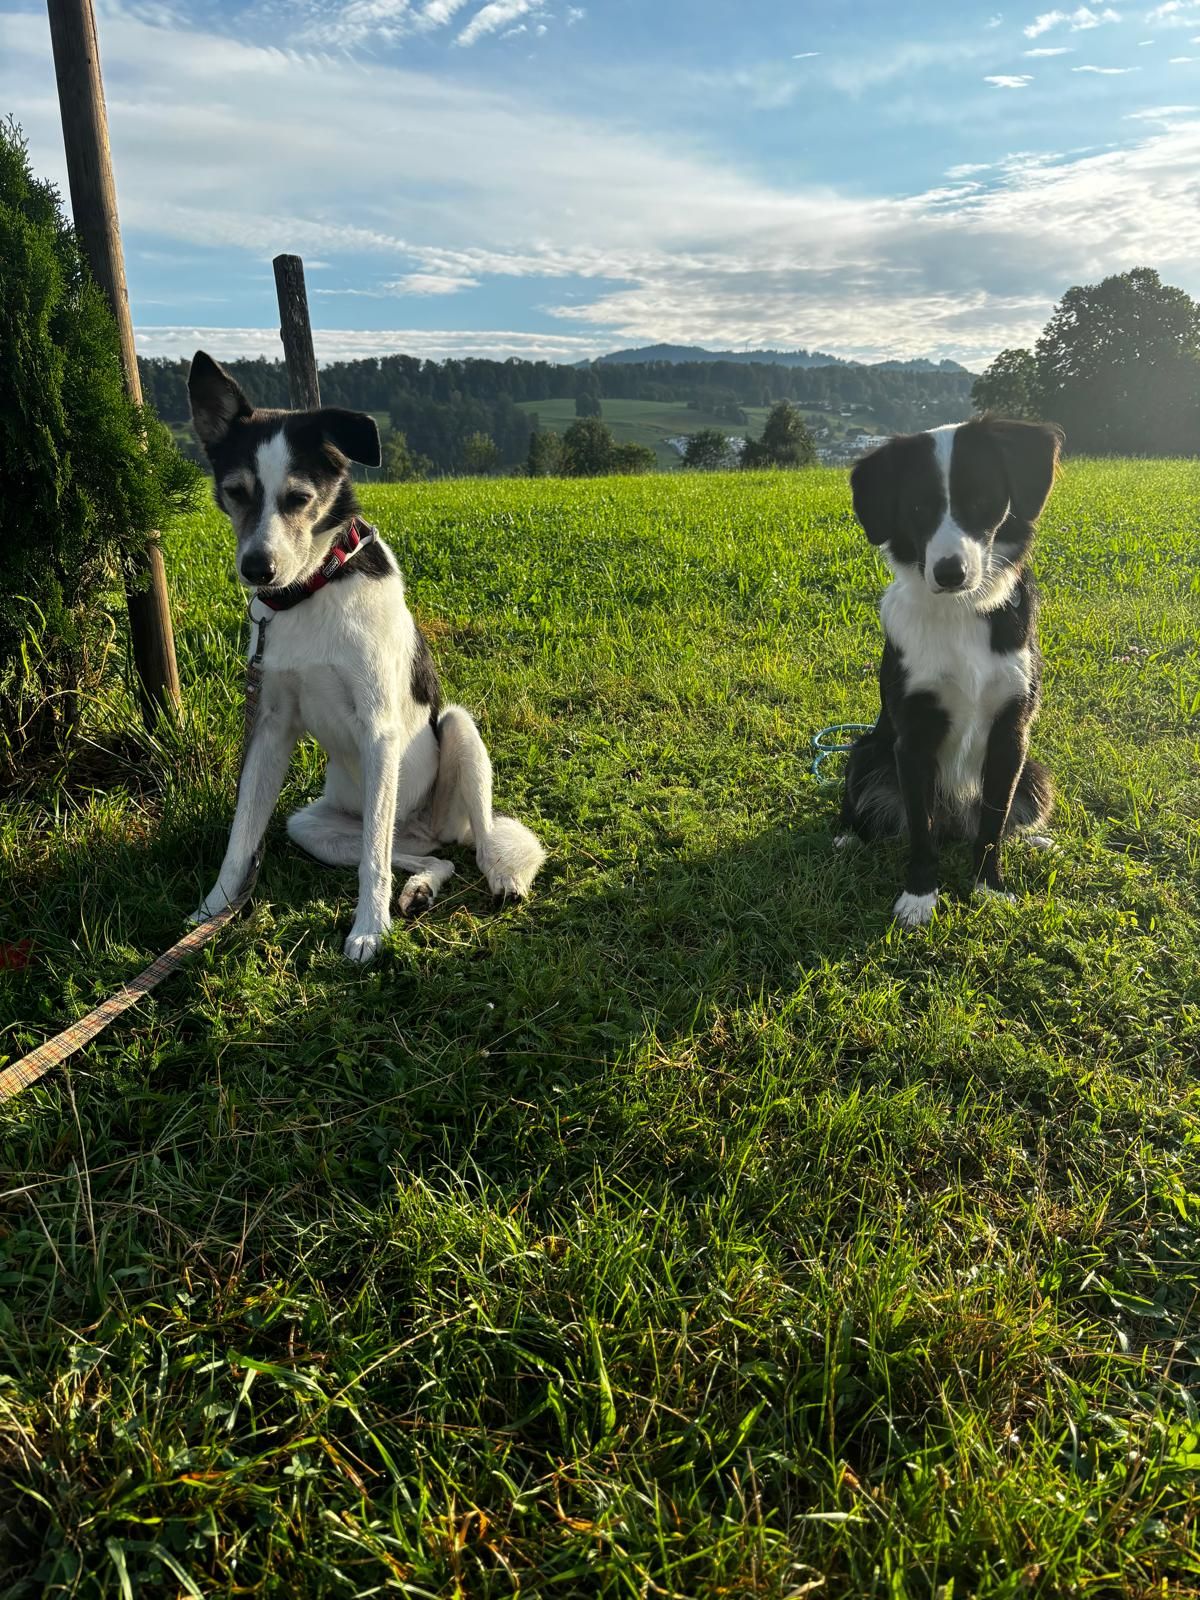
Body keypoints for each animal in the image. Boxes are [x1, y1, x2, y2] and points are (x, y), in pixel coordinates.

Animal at [838, 419, 1062, 934]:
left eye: (981, 499)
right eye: (917, 508)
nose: (949, 573)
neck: (961, 611)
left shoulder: (1011, 734)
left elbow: (994, 822)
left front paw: (989, 886)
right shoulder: (913, 739)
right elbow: (921, 829)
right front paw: (920, 897)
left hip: (1036, 771)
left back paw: (1035, 839)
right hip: (866, 752)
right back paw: (847, 837)